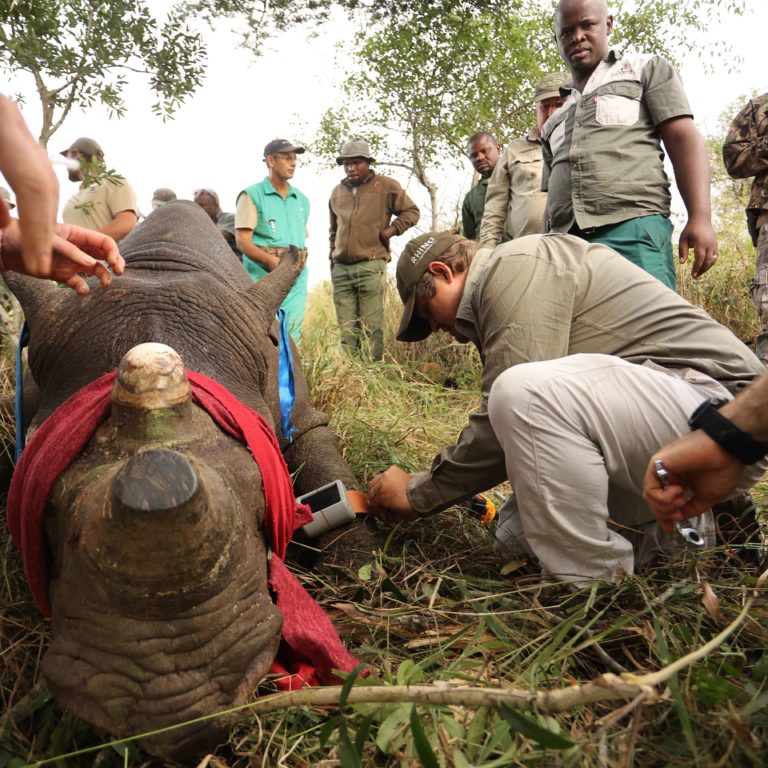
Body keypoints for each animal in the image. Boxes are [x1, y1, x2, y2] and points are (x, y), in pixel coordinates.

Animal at [0, 204, 372, 760]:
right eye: (48, 515)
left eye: (263, 500)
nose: (173, 711)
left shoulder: (297, 403)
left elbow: (320, 449)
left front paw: (363, 574)